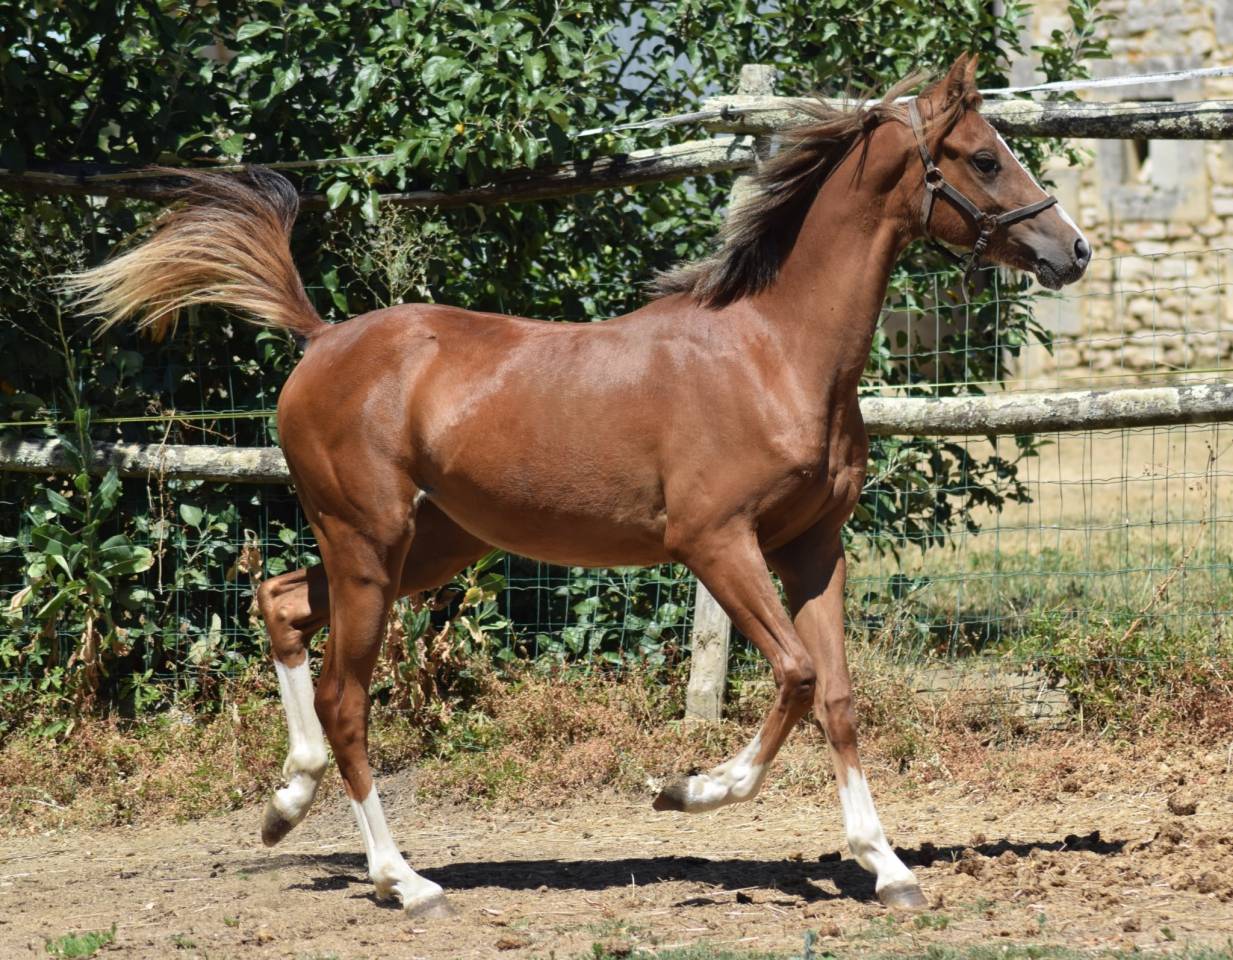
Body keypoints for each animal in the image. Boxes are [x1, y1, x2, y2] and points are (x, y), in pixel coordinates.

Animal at [67, 53, 1089, 918]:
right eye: (982, 158)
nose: (1070, 250)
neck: (774, 353)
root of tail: (321, 339)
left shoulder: (812, 547)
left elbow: (836, 695)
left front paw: (886, 866)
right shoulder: (714, 542)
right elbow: (797, 676)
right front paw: (686, 790)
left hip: (428, 545)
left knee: (280, 603)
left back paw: (285, 802)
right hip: (369, 543)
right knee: (344, 697)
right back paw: (405, 882)